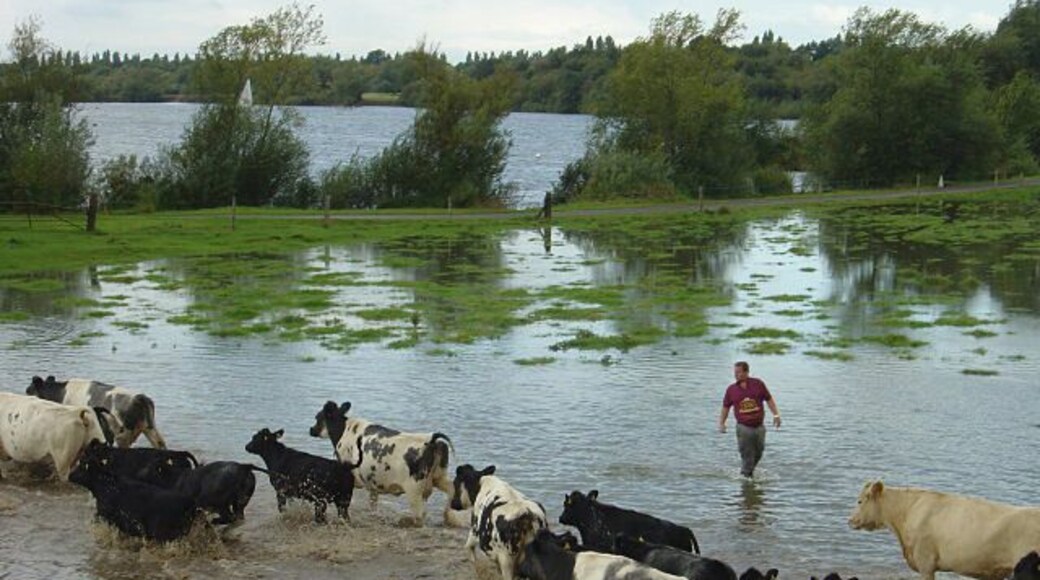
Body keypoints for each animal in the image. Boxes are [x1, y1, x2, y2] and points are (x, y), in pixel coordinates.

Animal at [27, 375, 167, 449]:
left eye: (28, 391)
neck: (61, 393)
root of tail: (139, 397)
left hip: (123, 434)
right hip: (150, 429)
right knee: (160, 444)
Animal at [308, 400, 454, 526]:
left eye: (317, 417)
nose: (311, 429)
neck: (344, 430)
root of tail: (432, 440)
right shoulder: (372, 482)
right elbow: (373, 503)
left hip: (414, 490)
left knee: (420, 515)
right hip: (439, 477)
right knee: (452, 491)